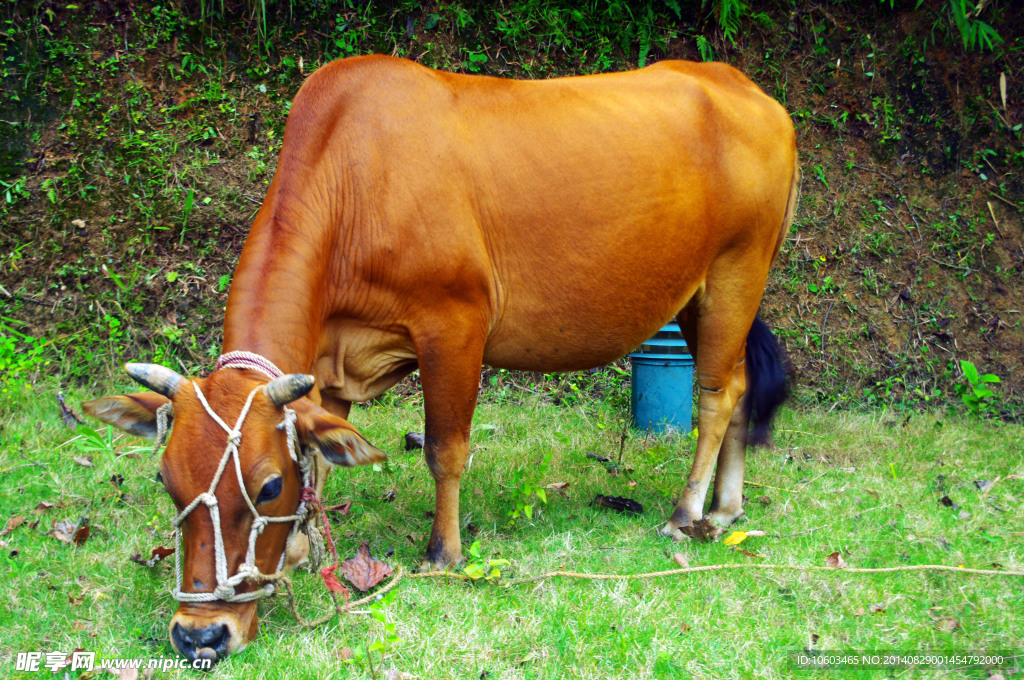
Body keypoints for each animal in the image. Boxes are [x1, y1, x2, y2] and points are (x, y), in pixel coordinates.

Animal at [83, 53, 794, 659]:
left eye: (267, 486)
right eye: (166, 481)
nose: (200, 635)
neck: (353, 183)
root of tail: (751, 91)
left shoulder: (455, 325)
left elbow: (444, 448)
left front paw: (442, 551)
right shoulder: (330, 363)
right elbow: (325, 453)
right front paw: (304, 547)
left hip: (736, 271)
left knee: (718, 394)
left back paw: (688, 511)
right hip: (699, 295)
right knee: (740, 384)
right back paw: (727, 508)